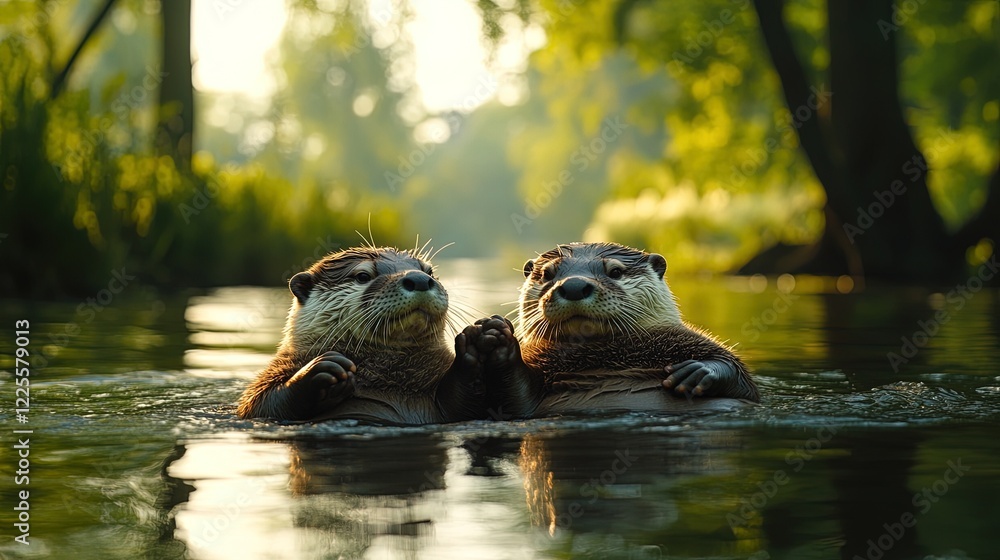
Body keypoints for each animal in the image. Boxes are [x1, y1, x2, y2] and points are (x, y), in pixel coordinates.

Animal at [237, 246, 484, 424]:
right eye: (363, 276)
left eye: (429, 271)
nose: (420, 279)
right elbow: (263, 402)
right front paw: (322, 368)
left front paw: (481, 344)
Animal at [459, 242, 759, 418]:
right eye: (546, 274)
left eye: (615, 271)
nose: (574, 285)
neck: (606, 358)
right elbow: (516, 401)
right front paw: (497, 337)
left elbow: (742, 378)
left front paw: (697, 371)